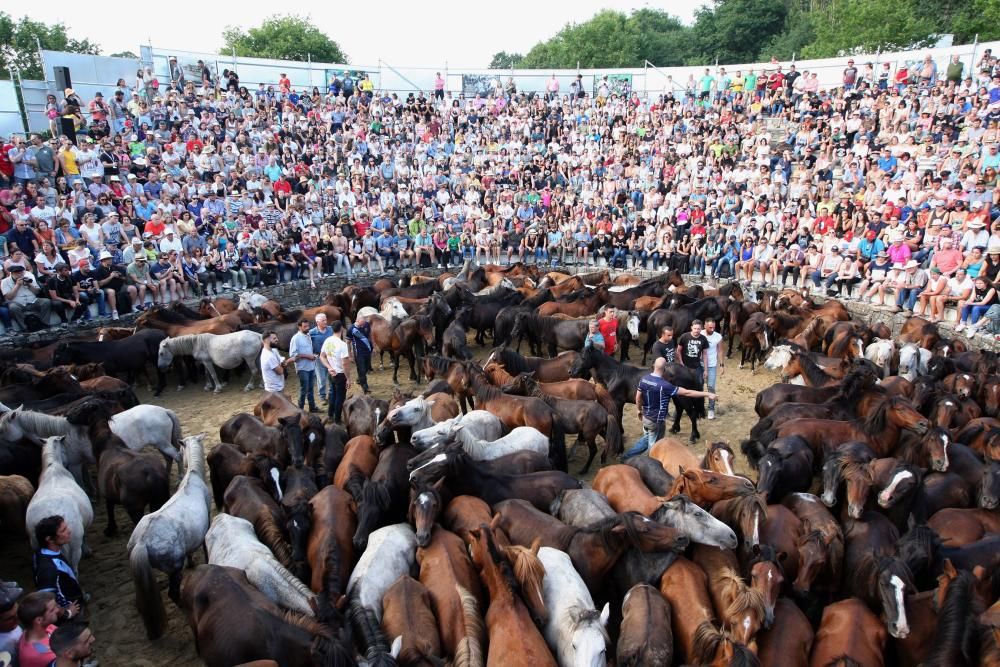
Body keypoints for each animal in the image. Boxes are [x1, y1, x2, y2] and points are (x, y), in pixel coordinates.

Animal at [25, 436, 94, 572]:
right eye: (64, 447)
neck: (53, 465)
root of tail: (49, 516)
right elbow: (84, 537)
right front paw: (88, 551)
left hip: (35, 545)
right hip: (74, 545)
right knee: (74, 567)